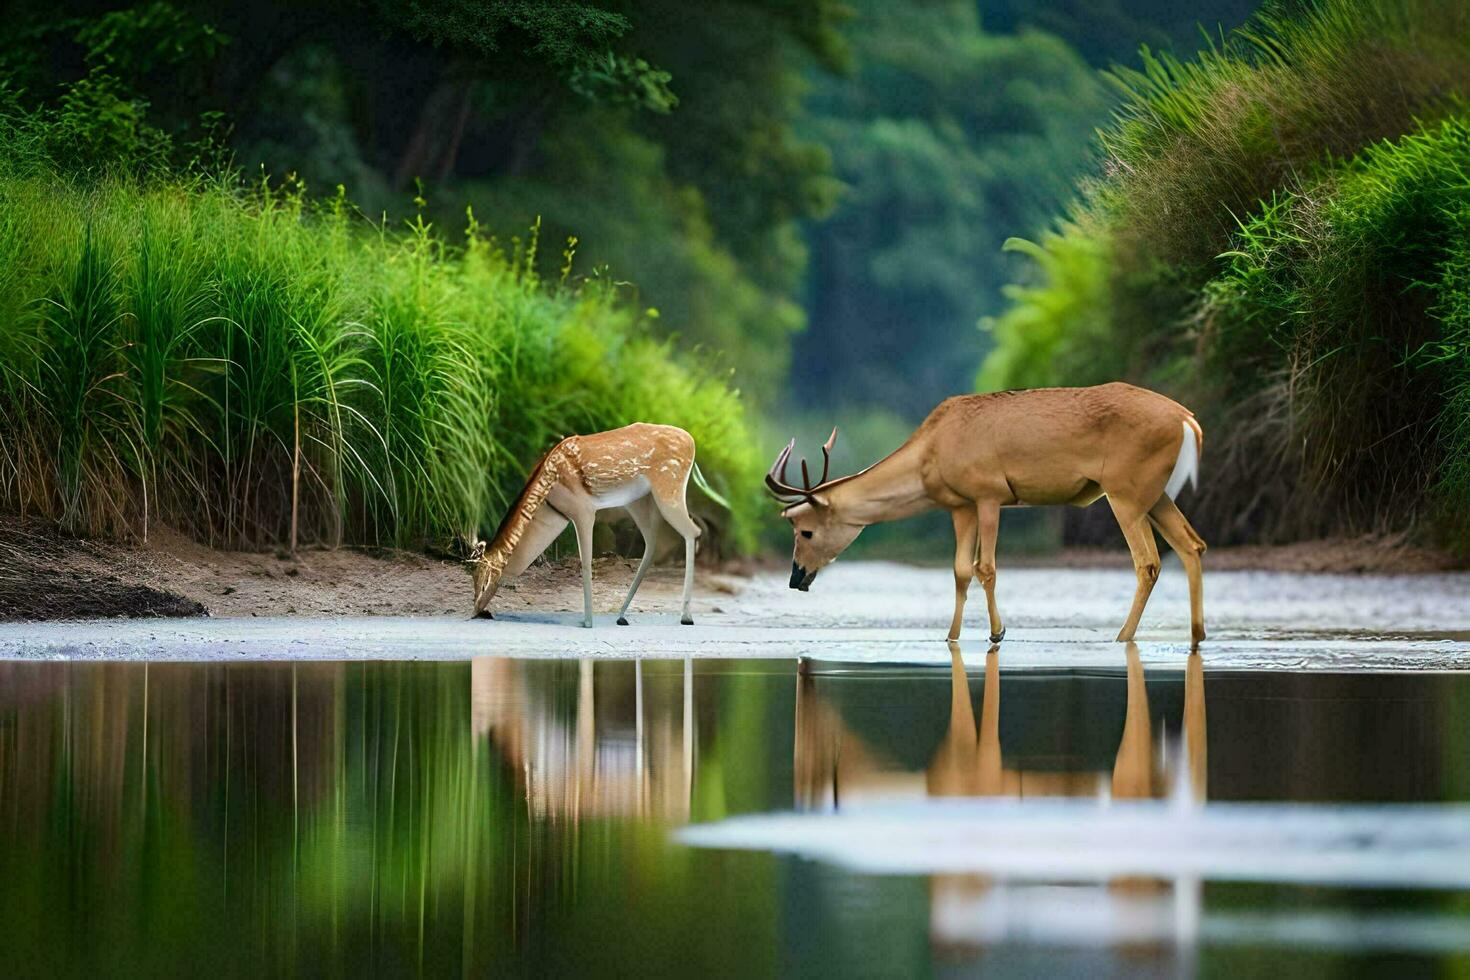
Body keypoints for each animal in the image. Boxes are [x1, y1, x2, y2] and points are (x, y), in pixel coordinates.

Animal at [467, 423, 726, 628]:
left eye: (483, 576)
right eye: (472, 576)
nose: (477, 610)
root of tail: (692, 442)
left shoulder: (584, 510)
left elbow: (585, 563)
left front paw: (587, 622)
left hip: (669, 487)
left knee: (692, 531)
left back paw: (686, 616)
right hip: (640, 501)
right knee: (654, 542)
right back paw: (622, 616)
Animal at [770, 382, 1205, 643]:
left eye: (805, 531)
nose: (795, 578)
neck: (932, 450)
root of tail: (1189, 421)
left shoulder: (989, 494)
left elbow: (986, 567)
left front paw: (998, 631)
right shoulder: (960, 504)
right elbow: (961, 570)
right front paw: (951, 635)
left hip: (1125, 491)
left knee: (1148, 561)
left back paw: (1123, 636)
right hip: (1155, 493)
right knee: (1192, 546)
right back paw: (1197, 635)